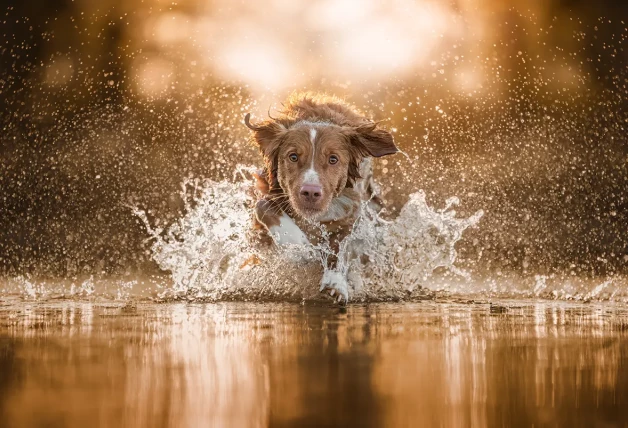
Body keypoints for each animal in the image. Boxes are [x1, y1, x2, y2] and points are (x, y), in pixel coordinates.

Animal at [245, 93, 398, 304]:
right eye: (293, 156)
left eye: (333, 159)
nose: (310, 192)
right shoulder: (267, 190)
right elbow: (262, 206)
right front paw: (299, 246)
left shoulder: (350, 210)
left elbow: (341, 246)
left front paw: (335, 283)